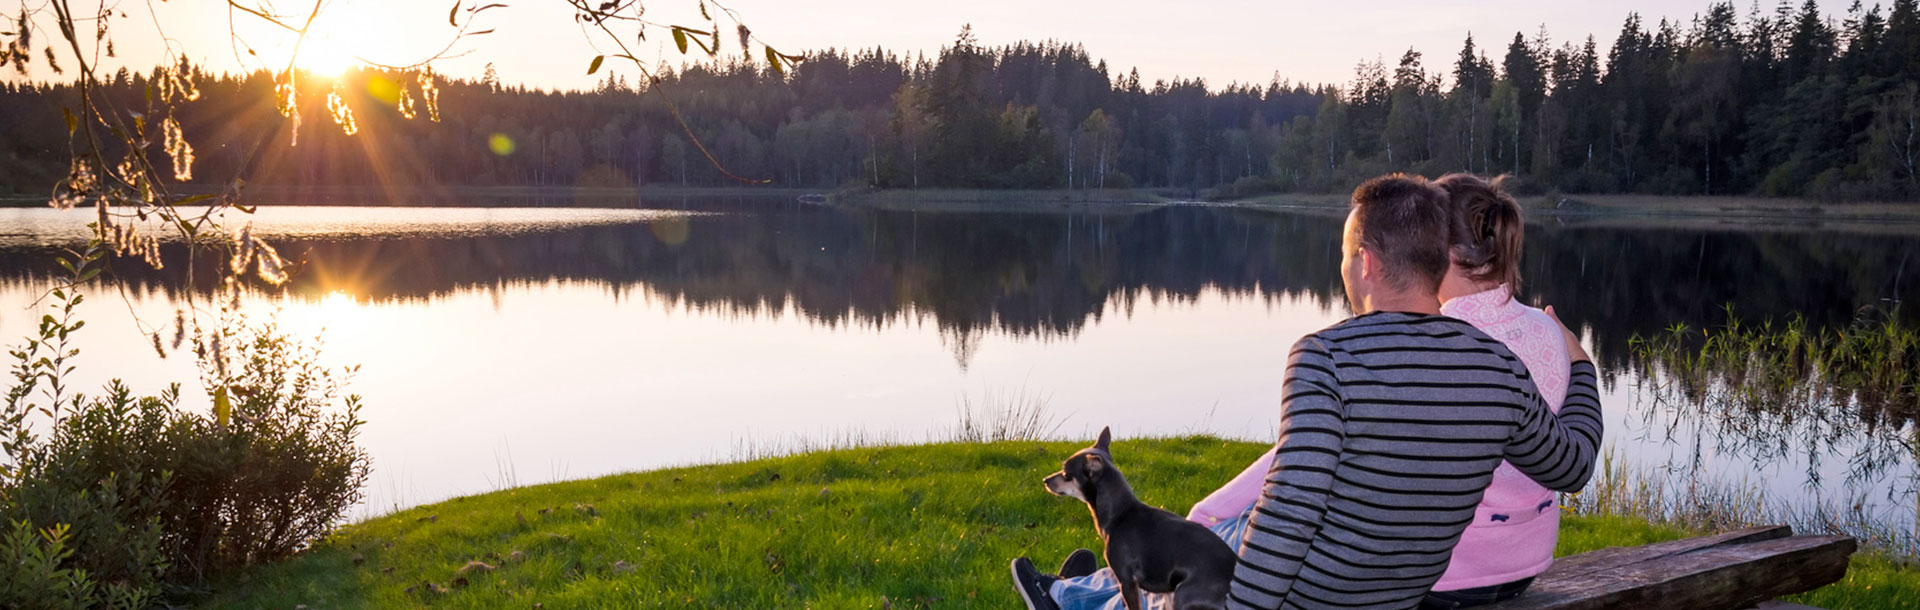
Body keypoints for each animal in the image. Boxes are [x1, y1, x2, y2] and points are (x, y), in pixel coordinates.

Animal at [1044, 429, 1236, 610]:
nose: (1045, 479)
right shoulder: (1167, 590)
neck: (1121, 514)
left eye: (1065, 473)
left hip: (1184, 594)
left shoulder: (1127, 581)